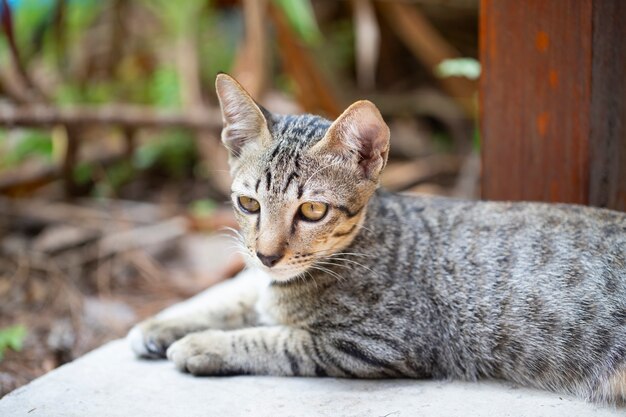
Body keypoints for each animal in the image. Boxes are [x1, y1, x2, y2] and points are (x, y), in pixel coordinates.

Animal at [127, 73, 624, 402]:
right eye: (249, 204)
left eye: (312, 210)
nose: (266, 256)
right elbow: (240, 302)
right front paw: (162, 325)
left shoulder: (382, 342)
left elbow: (278, 339)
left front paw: (202, 344)